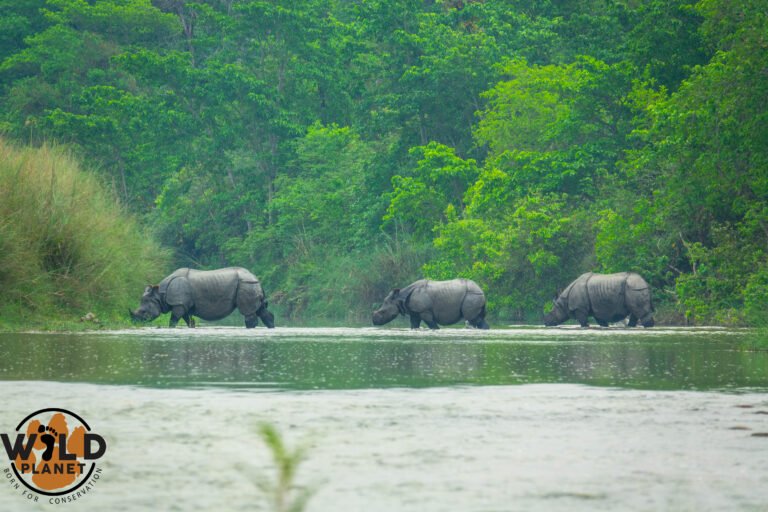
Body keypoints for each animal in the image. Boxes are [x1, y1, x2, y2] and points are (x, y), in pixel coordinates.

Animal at [130, 267, 275, 328]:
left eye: (144, 312)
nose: (135, 323)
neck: (160, 294)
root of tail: (257, 279)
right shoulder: (183, 305)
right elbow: (188, 321)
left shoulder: (178, 304)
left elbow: (173, 320)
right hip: (250, 285)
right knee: (261, 310)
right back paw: (271, 327)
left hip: (246, 284)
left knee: (248, 312)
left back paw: (250, 328)